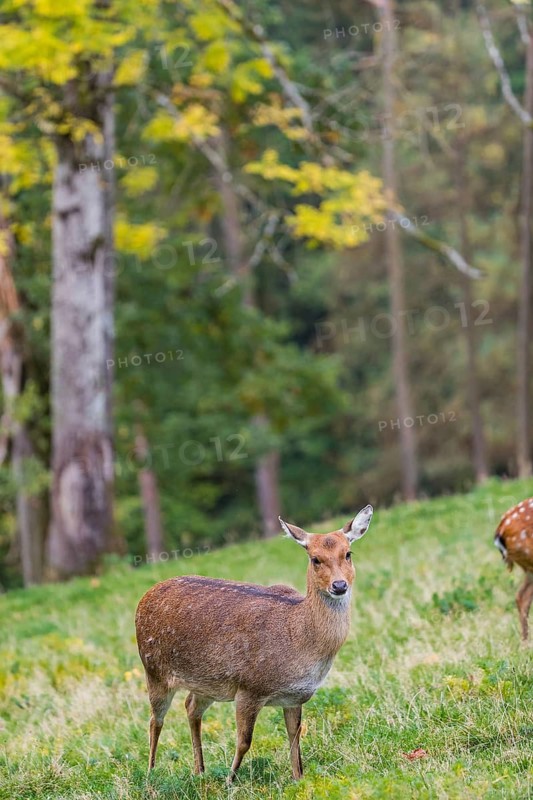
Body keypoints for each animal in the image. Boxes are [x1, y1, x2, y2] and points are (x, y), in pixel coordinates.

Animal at [135, 504, 373, 784]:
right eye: (315, 559)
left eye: (348, 553)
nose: (339, 585)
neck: (299, 639)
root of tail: (145, 595)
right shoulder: (249, 687)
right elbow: (244, 742)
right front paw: (229, 781)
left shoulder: (295, 697)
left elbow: (295, 739)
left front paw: (298, 779)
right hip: (154, 669)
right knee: (155, 720)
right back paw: (151, 774)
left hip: (205, 683)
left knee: (191, 707)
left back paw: (200, 771)